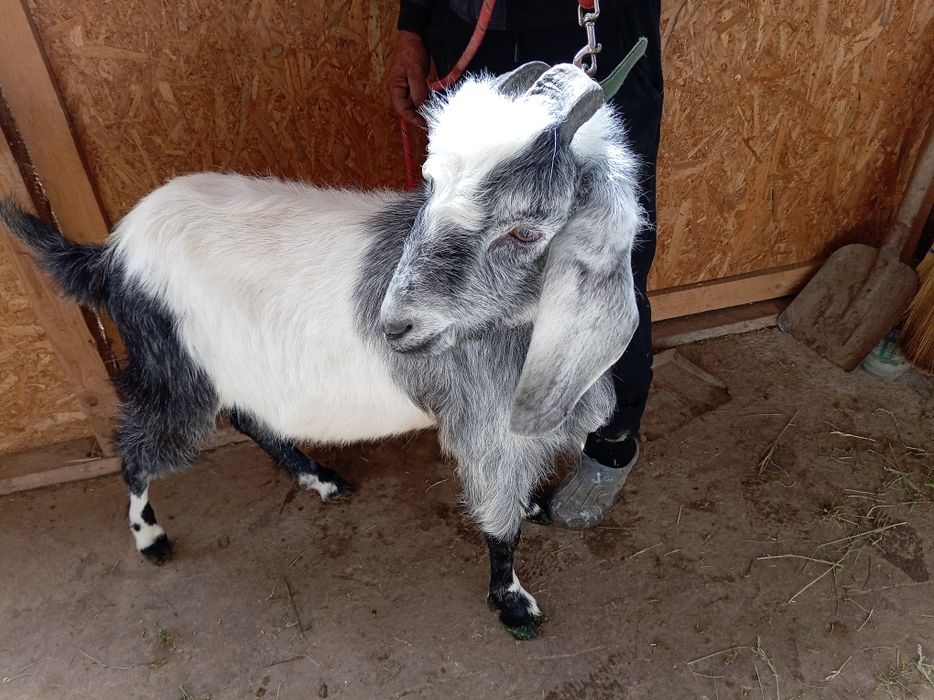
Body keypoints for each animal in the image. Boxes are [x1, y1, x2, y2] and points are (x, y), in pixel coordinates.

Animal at [0, 63, 644, 639]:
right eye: (430, 189)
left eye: (526, 230)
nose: (393, 325)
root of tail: (109, 255)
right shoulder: (482, 424)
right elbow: (498, 523)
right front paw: (511, 602)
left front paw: (532, 505)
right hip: (173, 370)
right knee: (135, 447)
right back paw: (149, 536)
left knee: (247, 416)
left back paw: (318, 478)